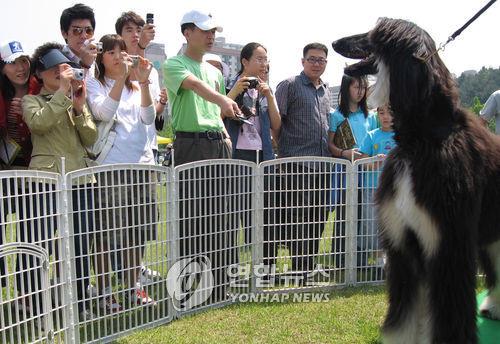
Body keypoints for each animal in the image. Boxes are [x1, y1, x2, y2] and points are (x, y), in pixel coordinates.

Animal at [332, 18, 500, 342]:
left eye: (375, 33)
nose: (335, 42)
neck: (421, 140)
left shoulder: (447, 242)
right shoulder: (404, 244)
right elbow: (405, 316)